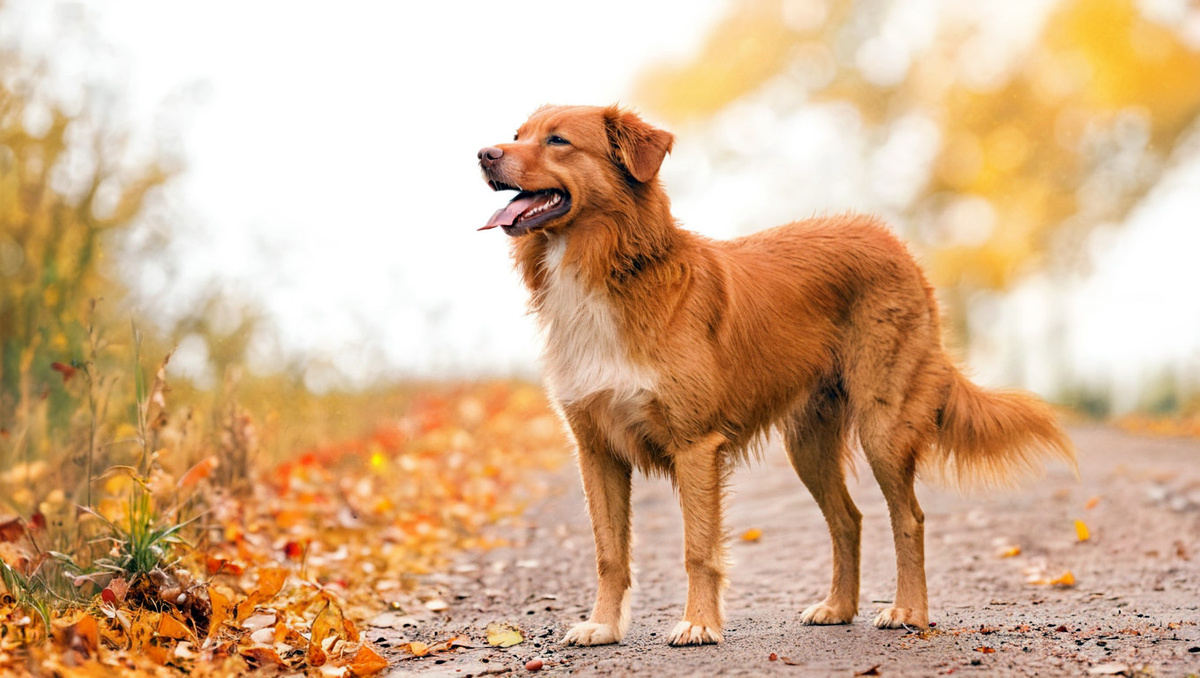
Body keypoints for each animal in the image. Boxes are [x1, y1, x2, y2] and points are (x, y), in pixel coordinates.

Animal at [472, 104, 1075, 643]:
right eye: (517, 134)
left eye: (557, 141)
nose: (483, 153)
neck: (607, 272)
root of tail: (894, 243)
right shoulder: (596, 451)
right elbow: (608, 553)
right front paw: (601, 626)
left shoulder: (695, 446)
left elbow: (698, 549)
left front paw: (699, 625)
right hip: (806, 442)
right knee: (848, 520)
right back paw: (838, 608)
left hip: (883, 426)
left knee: (910, 518)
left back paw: (908, 611)